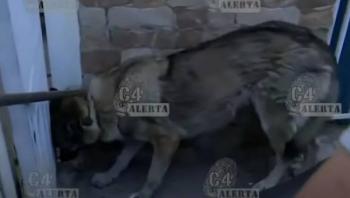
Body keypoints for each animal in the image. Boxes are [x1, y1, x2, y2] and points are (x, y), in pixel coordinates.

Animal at [72, 20, 340, 197]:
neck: (118, 88)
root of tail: (319, 43)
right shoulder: (138, 136)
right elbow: (122, 158)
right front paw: (108, 176)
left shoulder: (167, 140)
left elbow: (152, 175)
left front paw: (143, 193)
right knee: (303, 147)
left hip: (272, 117)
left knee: (287, 154)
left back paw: (269, 182)